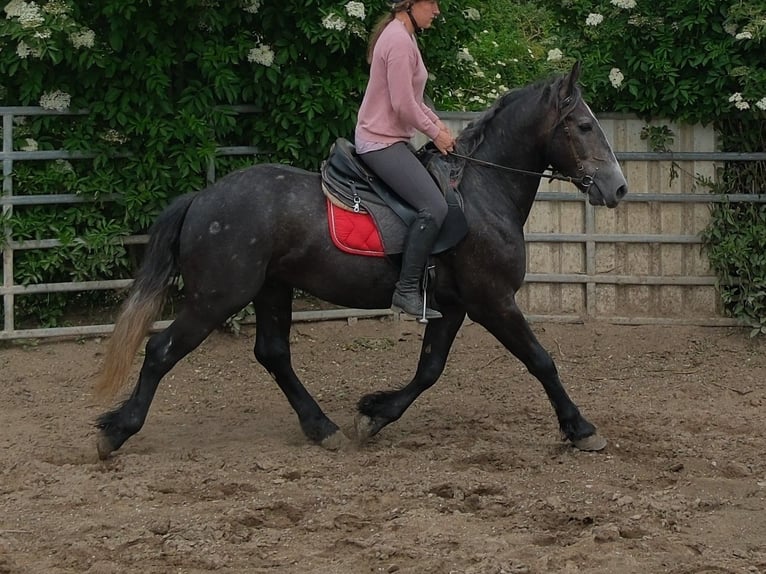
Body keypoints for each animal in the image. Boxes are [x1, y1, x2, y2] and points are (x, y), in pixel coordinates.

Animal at [95, 62, 628, 459]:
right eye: (583, 126)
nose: (618, 188)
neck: (481, 192)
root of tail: (202, 199)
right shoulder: (492, 301)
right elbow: (541, 360)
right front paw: (581, 428)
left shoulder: (453, 307)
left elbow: (430, 369)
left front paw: (374, 414)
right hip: (217, 297)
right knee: (161, 350)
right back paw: (117, 431)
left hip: (271, 289)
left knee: (273, 353)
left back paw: (321, 427)